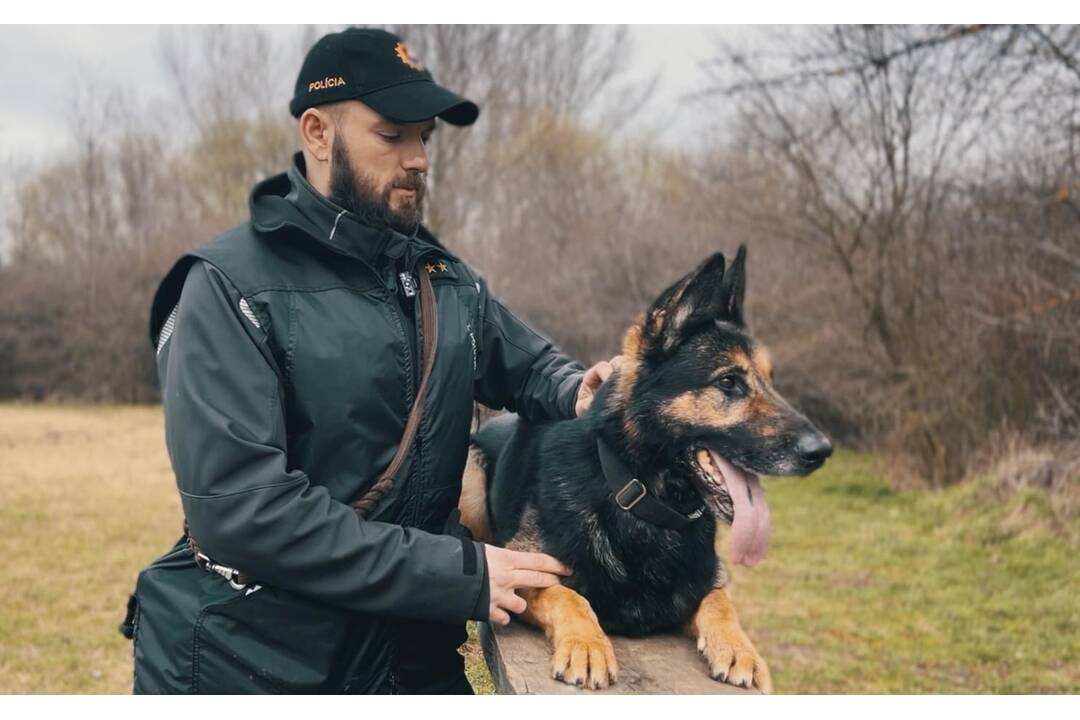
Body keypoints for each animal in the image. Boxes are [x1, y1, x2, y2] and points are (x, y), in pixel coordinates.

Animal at [460, 248, 829, 690]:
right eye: (728, 382)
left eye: (771, 381)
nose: (822, 451)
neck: (644, 502)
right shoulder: (525, 569)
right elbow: (569, 596)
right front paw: (587, 645)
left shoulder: (708, 578)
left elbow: (721, 602)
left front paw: (740, 649)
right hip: (471, 474)